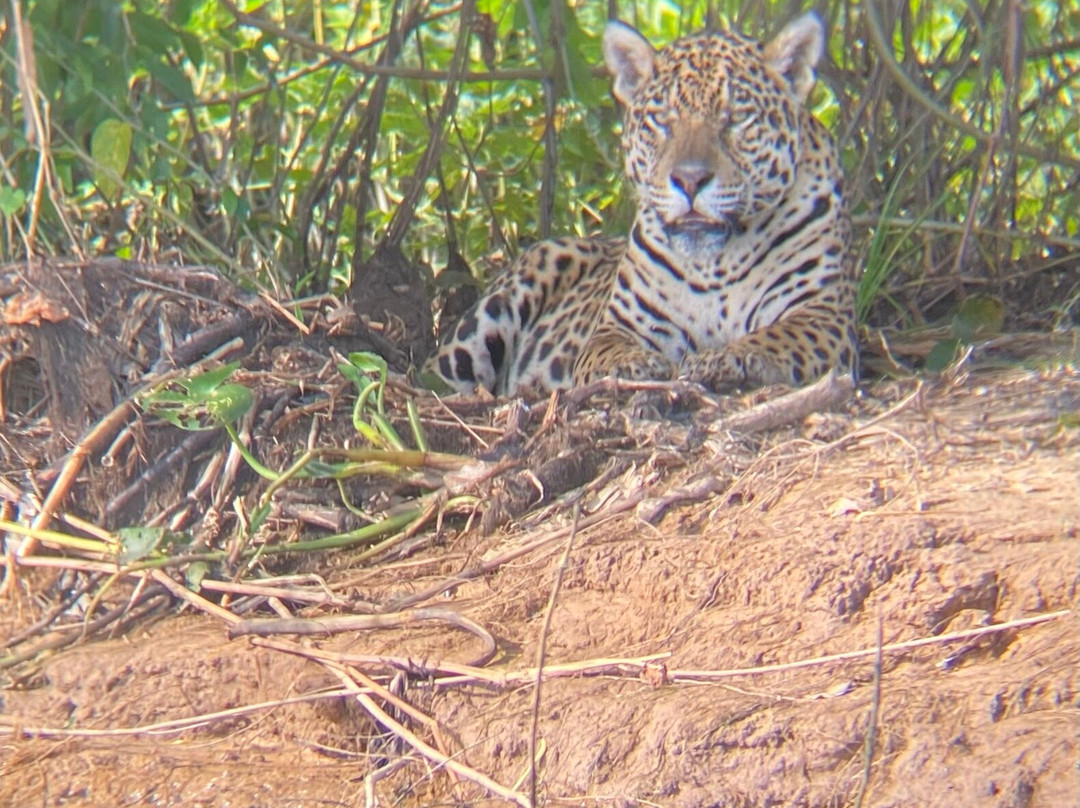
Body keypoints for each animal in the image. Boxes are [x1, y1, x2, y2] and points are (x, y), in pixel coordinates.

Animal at [427, 13, 858, 397]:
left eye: (735, 120)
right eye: (662, 121)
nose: (690, 180)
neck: (716, 264)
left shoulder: (822, 314)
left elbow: (776, 338)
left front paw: (722, 359)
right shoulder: (620, 326)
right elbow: (607, 351)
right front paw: (636, 365)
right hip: (508, 297)